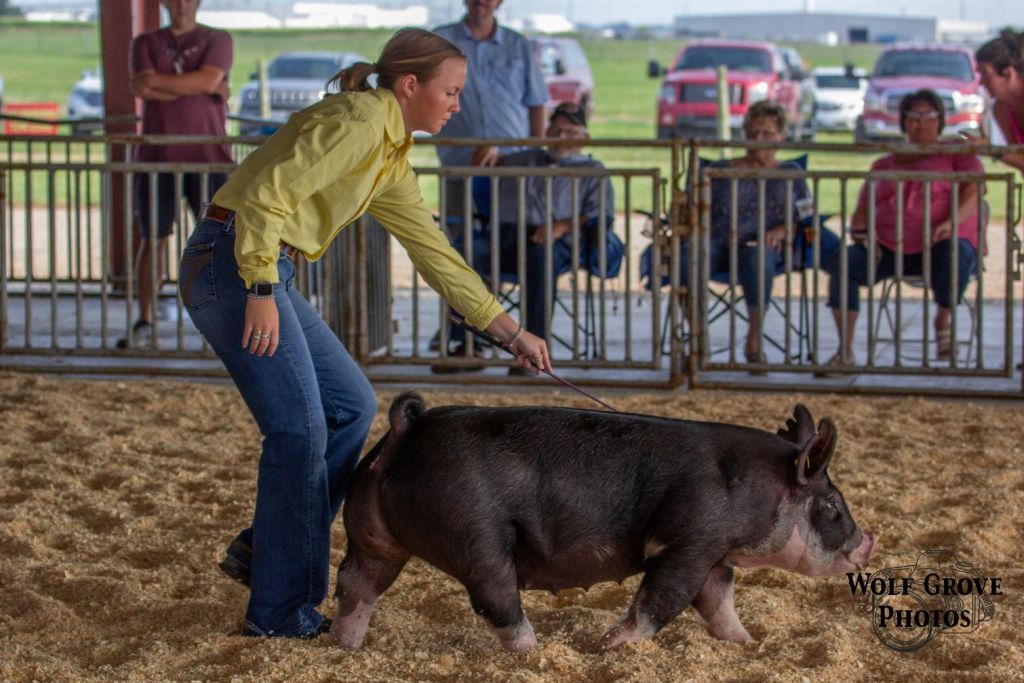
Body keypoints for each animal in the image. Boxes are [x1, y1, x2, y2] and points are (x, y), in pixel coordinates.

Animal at [331, 392, 875, 652]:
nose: (867, 544)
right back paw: (535, 653)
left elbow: (720, 603)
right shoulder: (690, 538)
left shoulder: (715, 553)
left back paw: (346, 648)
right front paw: (610, 645)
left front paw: (749, 644)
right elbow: (664, 599)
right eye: (832, 507)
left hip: (371, 533)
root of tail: (408, 427)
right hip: (474, 532)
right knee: (495, 596)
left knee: (356, 581)